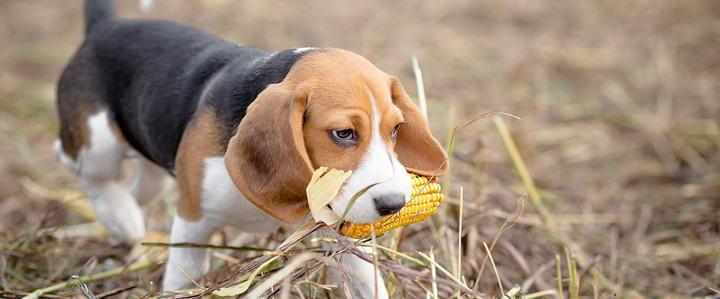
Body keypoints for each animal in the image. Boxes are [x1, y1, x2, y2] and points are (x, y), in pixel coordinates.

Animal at [56, 0, 448, 298]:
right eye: (343, 133)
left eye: (395, 130)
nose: (394, 204)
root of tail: (106, 26)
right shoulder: (193, 224)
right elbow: (181, 276)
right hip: (98, 145)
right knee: (79, 164)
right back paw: (117, 213)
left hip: (154, 173)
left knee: (137, 187)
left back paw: (125, 218)